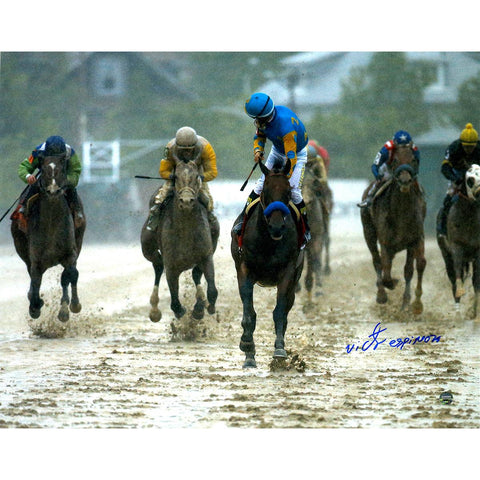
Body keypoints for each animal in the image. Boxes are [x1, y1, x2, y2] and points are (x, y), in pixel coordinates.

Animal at [10, 154, 86, 320]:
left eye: (62, 169)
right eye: (43, 170)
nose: (53, 190)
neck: (52, 223)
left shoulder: (70, 253)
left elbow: (69, 275)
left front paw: (69, 308)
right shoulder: (36, 259)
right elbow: (35, 281)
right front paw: (35, 306)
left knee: (69, 276)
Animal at [141, 156, 219, 324]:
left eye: (197, 177)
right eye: (175, 177)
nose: (187, 201)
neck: (185, 229)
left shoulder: (206, 255)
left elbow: (211, 290)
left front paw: (202, 307)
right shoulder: (171, 264)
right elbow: (175, 302)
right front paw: (181, 312)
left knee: (195, 273)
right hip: (148, 248)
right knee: (158, 266)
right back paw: (155, 309)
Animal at [230, 159, 304, 370]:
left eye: (288, 193)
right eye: (266, 192)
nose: (277, 227)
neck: (268, 241)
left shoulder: (288, 271)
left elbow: (279, 312)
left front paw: (279, 350)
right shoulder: (244, 269)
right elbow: (249, 313)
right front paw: (247, 345)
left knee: (285, 311)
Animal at [360, 144, 428, 314]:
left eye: (413, 159)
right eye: (395, 160)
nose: (405, 180)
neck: (401, 213)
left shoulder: (415, 239)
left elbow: (414, 267)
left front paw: (413, 304)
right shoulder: (386, 242)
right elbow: (386, 272)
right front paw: (390, 286)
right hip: (368, 233)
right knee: (377, 261)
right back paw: (381, 294)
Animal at [436, 165, 480, 318]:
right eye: (470, 179)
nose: (479, 192)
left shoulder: (478, 250)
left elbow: (476, 281)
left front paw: (475, 312)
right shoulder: (456, 246)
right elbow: (457, 272)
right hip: (445, 253)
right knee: (453, 277)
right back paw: (457, 310)